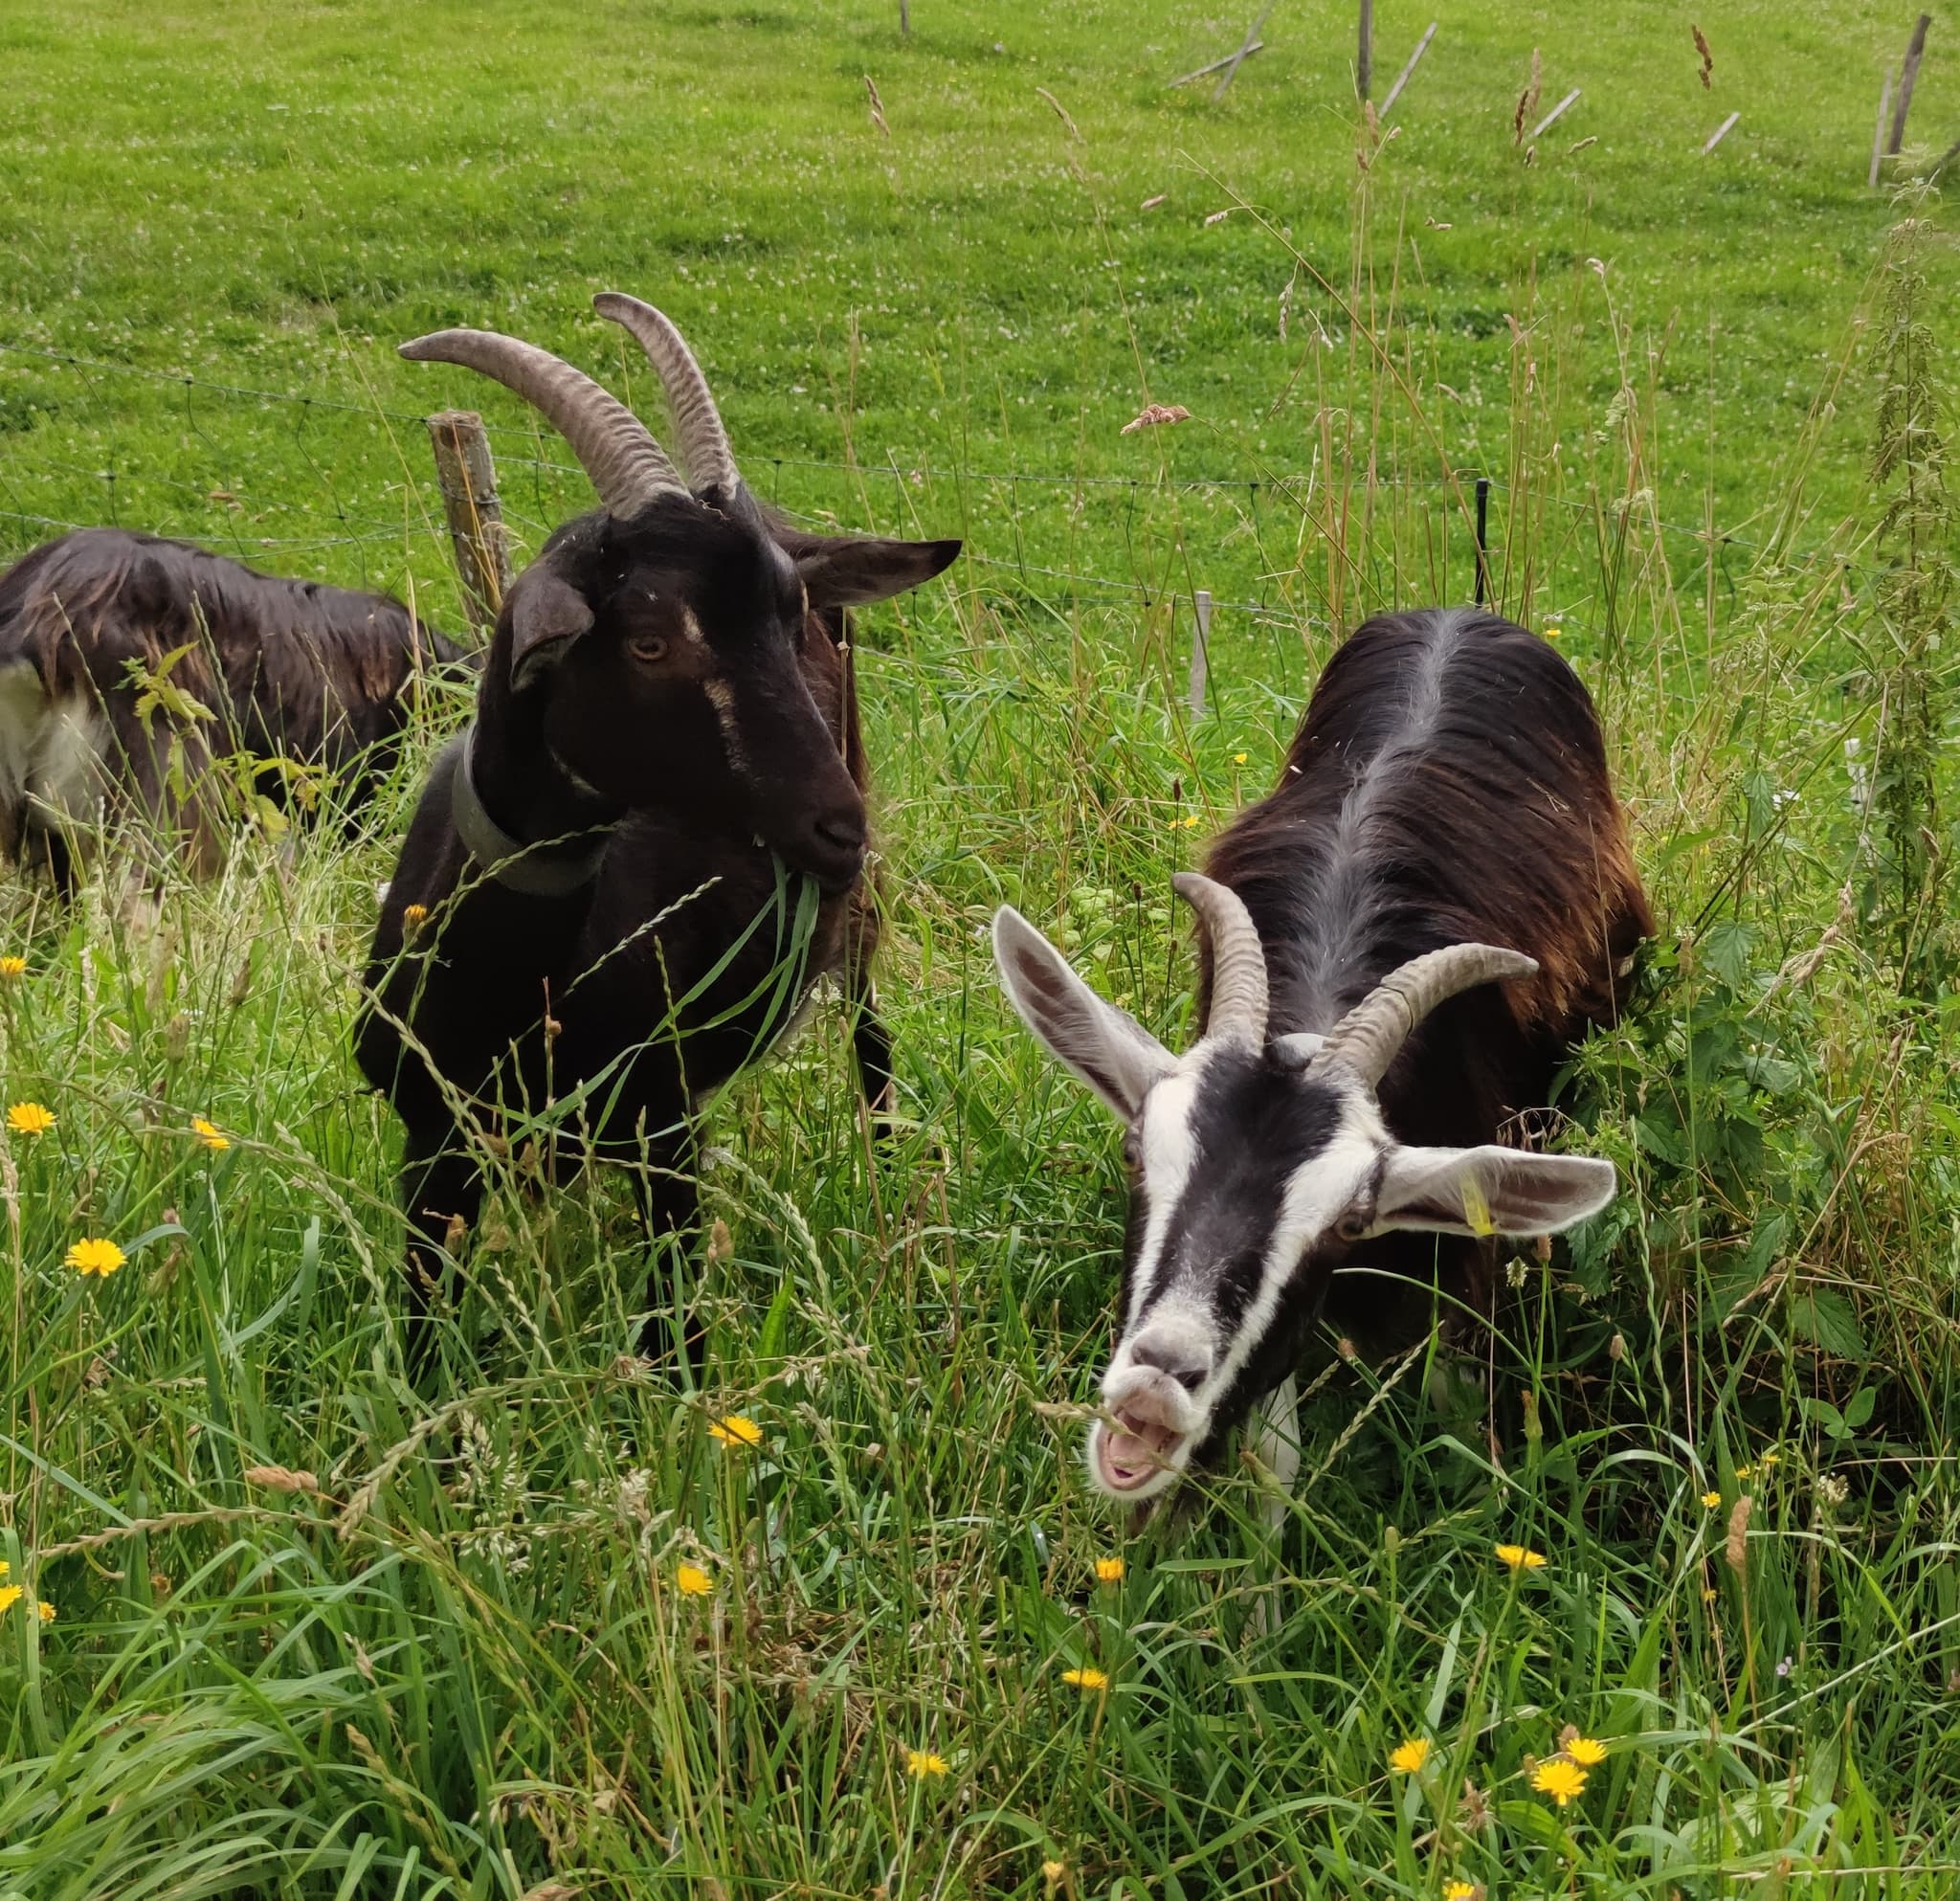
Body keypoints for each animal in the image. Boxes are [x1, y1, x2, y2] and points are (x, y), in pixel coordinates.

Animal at [355, 294, 959, 1369]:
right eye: (646, 639)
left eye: (792, 622)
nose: (837, 826)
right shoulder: (432, 1135)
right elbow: (423, 1328)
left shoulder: (664, 1129)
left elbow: (676, 1335)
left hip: (858, 941)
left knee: (873, 1056)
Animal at [993, 606, 1652, 1509]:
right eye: (1135, 1152)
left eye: (1348, 1223)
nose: (1156, 1384)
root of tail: (1463, 610)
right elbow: (1276, 1460)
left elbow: (1457, 1409)